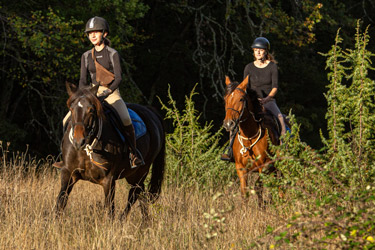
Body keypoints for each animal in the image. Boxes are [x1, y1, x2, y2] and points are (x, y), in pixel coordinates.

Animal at [54, 83, 164, 219]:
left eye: (91, 110)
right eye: (71, 109)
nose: (79, 141)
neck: (86, 149)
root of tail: (151, 112)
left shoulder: (108, 180)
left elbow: (110, 209)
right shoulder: (68, 173)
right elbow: (60, 202)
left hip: (141, 171)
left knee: (134, 193)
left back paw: (123, 219)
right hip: (132, 175)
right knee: (140, 193)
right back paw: (144, 220)